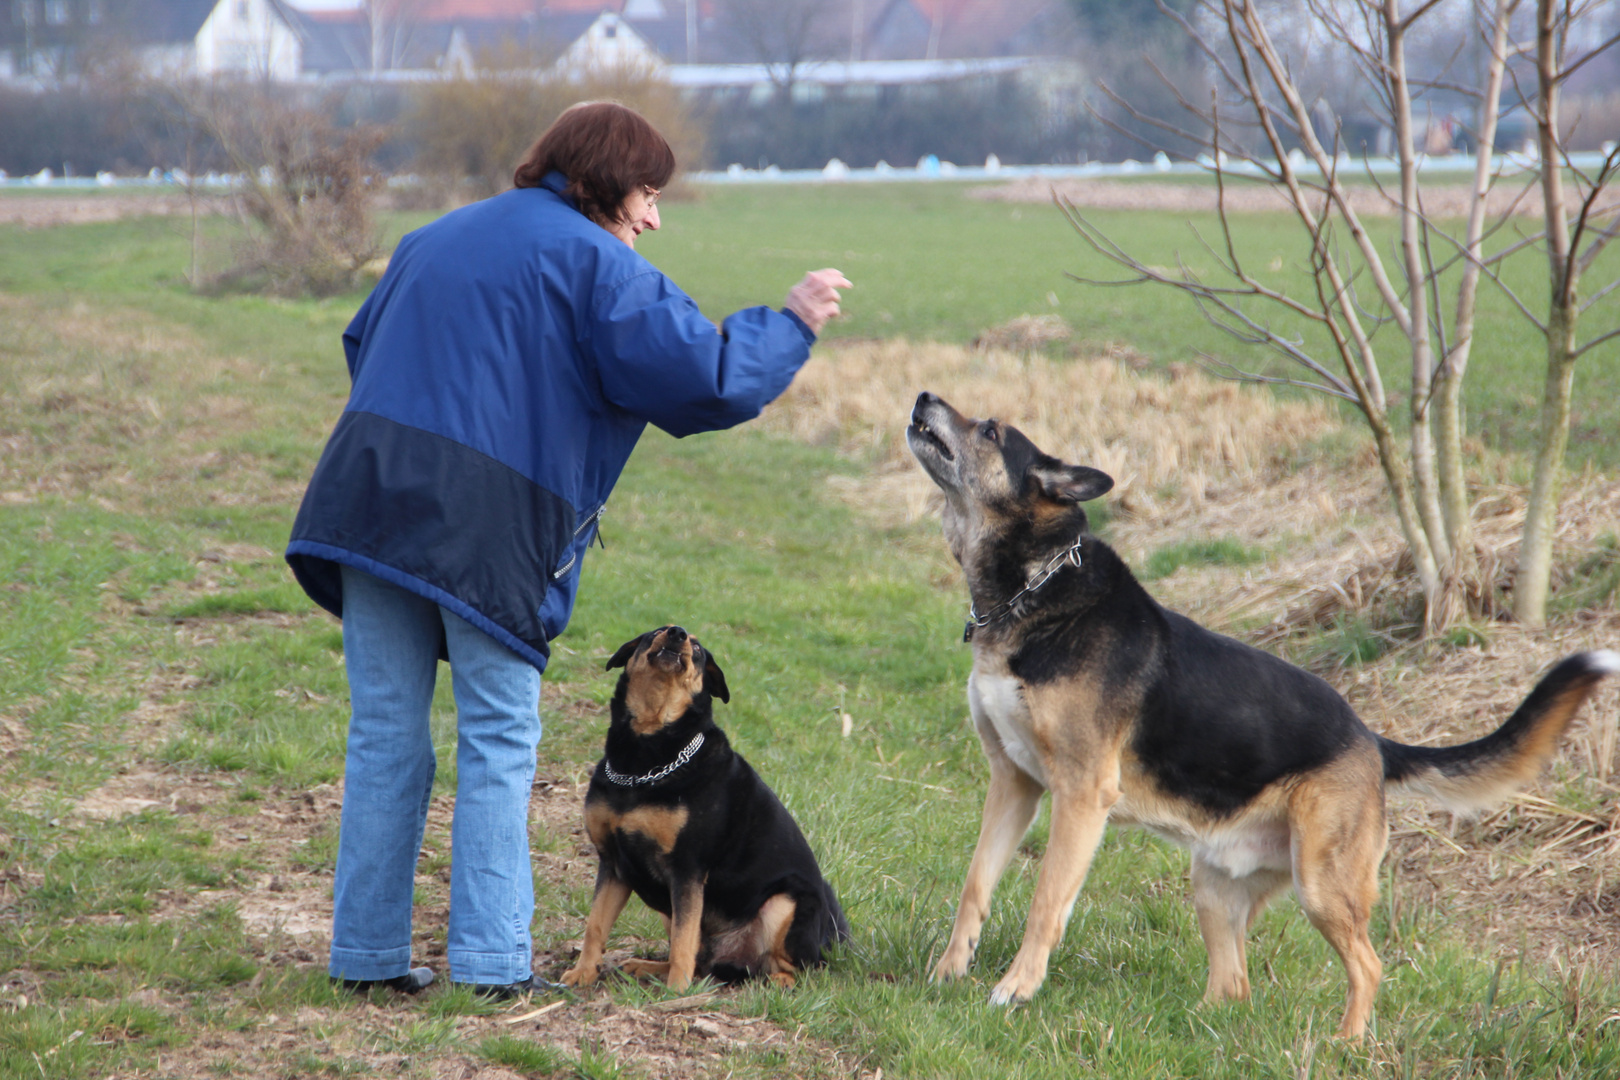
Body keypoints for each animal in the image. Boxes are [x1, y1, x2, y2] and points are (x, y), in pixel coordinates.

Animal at [560, 621, 848, 990]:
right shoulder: (613, 863)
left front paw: (675, 992)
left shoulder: (687, 869)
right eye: (655, 631)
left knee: (799, 969)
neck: (646, 759)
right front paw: (583, 972)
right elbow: (595, 925)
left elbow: (684, 938)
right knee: (699, 959)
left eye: (697, 650)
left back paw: (771, 981)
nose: (677, 633)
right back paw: (648, 967)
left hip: (787, 902)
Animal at [907, 388, 1613, 1036]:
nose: (921, 398)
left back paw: (1346, 1046)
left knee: (1368, 965)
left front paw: (1016, 988)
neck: (1033, 590)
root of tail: (1374, 742)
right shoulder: (1014, 783)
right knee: (1234, 986)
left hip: (1322, 883)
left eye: (991, 430)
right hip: (1214, 884)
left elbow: (1046, 900)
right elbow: (976, 885)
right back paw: (1194, 1029)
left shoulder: (1080, 794)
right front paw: (947, 973)